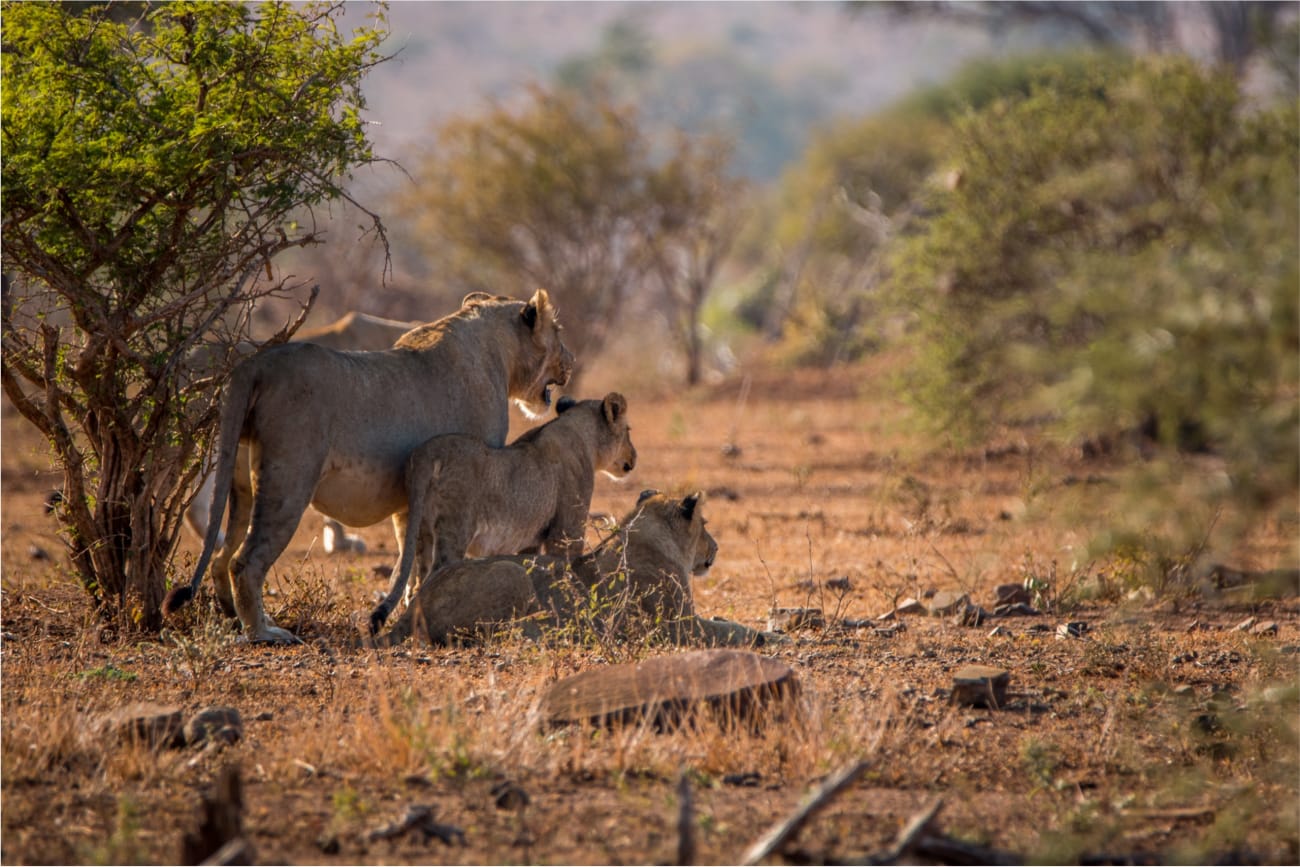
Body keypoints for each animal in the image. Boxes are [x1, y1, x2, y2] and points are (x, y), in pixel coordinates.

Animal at [369, 491, 759, 647]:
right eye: (705, 525)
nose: (716, 548)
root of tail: (418, 599)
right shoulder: (681, 627)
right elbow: (734, 632)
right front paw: (768, 636)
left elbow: (726, 623)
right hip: (513, 574)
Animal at [371, 392, 639, 631]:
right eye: (628, 430)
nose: (634, 458)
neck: (580, 434)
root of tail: (428, 453)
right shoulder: (566, 530)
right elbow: (568, 567)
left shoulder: (531, 539)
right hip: (455, 528)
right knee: (434, 576)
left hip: (419, 526)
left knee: (415, 579)